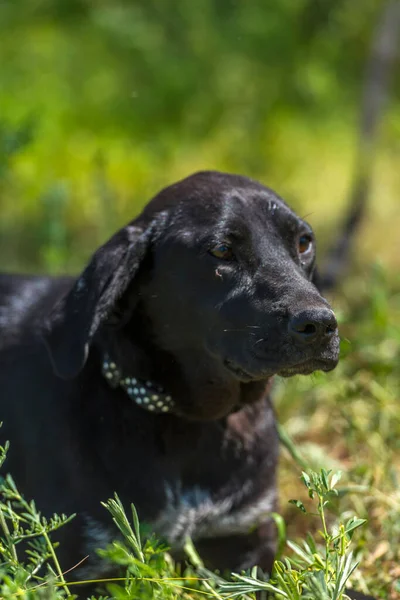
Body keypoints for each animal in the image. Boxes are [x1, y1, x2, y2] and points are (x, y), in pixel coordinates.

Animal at [0, 171, 346, 584]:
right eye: (221, 251)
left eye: (304, 242)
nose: (321, 324)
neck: (195, 424)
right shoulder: (81, 567)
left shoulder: (245, 544)